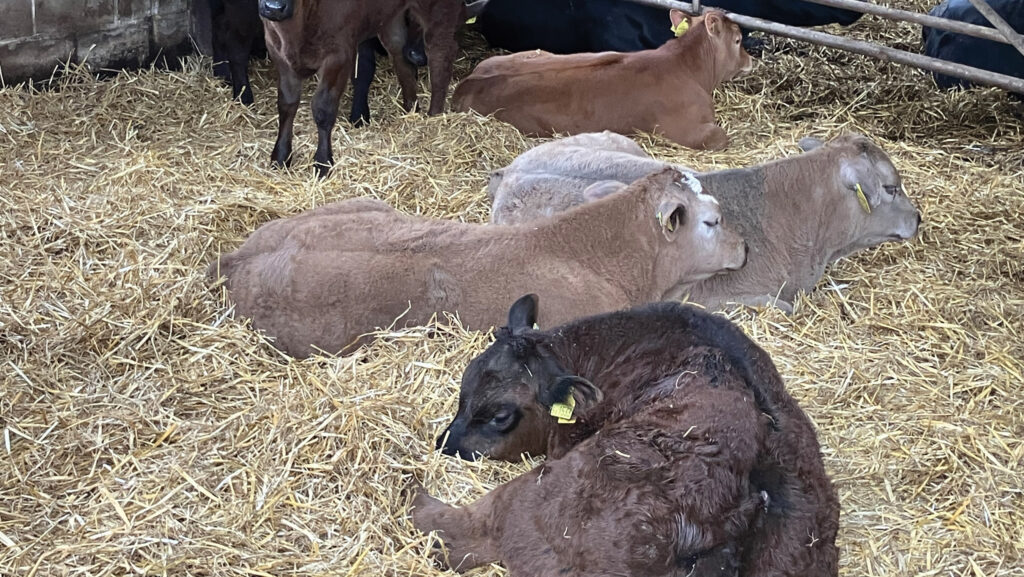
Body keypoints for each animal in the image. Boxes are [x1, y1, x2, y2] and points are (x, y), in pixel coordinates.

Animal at [258, 0, 466, 177]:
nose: (274, 8)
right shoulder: (276, 49)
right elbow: (287, 104)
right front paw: (280, 157)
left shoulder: (339, 54)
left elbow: (323, 109)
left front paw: (323, 163)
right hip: (391, 17)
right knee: (401, 57)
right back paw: (410, 109)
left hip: (438, 10)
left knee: (440, 55)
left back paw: (434, 116)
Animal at [452, 10, 753, 150]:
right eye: (738, 40)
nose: (750, 60)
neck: (687, 66)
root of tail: (467, 82)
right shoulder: (683, 131)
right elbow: (720, 136)